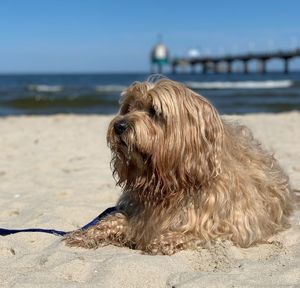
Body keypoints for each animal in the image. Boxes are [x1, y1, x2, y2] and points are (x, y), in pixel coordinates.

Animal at [63, 79, 292, 254]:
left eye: (154, 111)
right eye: (129, 107)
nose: (119, 125)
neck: (169, 183)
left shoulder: (229, 225)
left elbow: (196, 232)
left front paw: (165, 240)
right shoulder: (138, 214)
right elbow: (115, 219)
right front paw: (87, 234)